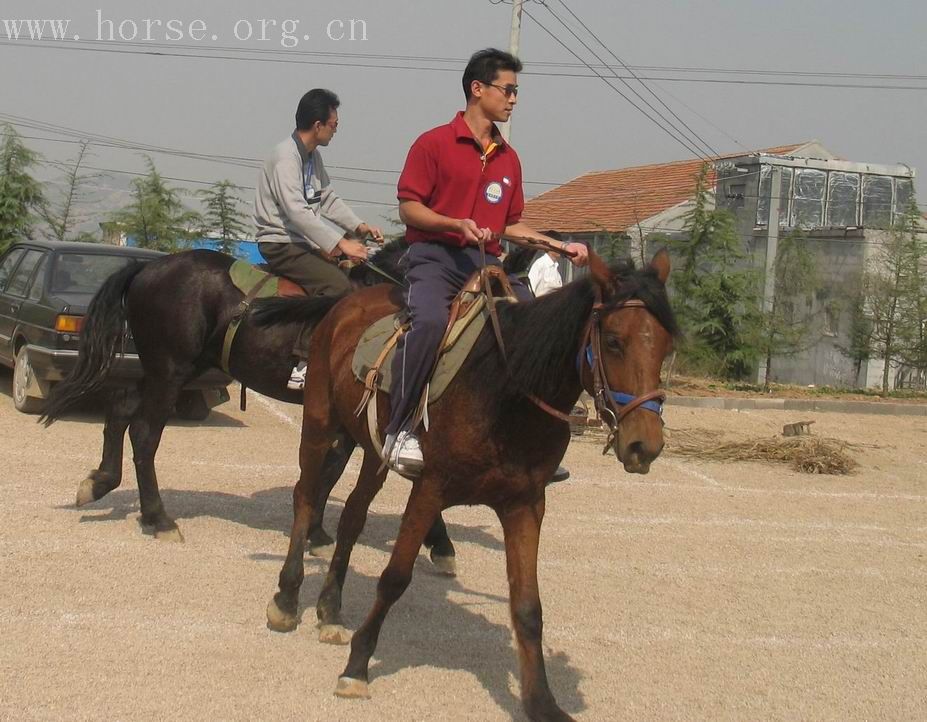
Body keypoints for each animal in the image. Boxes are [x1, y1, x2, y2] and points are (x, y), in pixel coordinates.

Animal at [258, 249, 676, 720]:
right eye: (614, 342)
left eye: (666, 345)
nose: (645, 444)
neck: (504, 393)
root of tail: (346, 302)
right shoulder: (429, 490)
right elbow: (394, 578)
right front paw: (358, 666)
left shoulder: (525, 504)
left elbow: (528, 607)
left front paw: (541, 701)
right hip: (319, 423)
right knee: (306, 497)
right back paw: (287, 600)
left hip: (369, 447)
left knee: (351, 517)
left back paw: (329, 611)